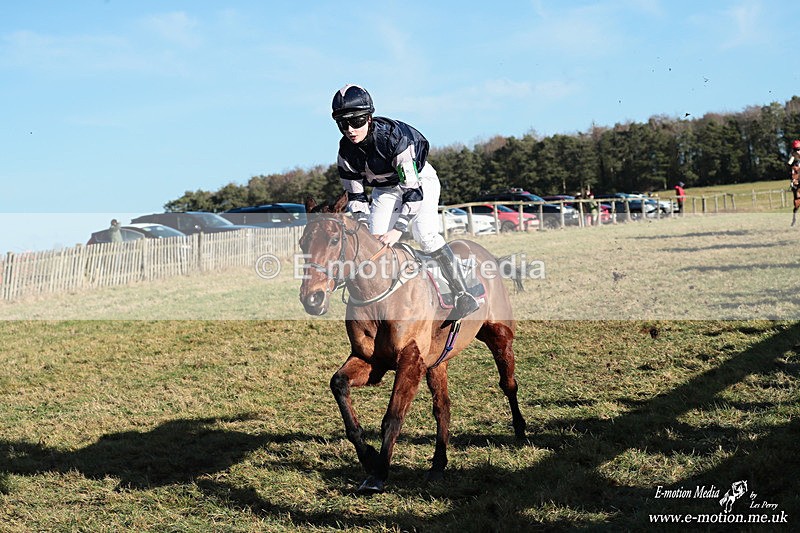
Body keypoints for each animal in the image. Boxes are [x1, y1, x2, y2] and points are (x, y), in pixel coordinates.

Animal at [298, 193, 526, 493]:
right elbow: (338, 384)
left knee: (508, 384)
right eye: (302, 243)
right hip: (437, 362)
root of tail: (489, 258)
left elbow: (393, 417)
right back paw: (438, 465)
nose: (311, 299)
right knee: (442, 407)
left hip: (500, 336)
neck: (379, 293)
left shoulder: (410, 360)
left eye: (334, 239)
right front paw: (368, 456)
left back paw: (521, 431)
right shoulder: (371, 361)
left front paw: (379, 473)